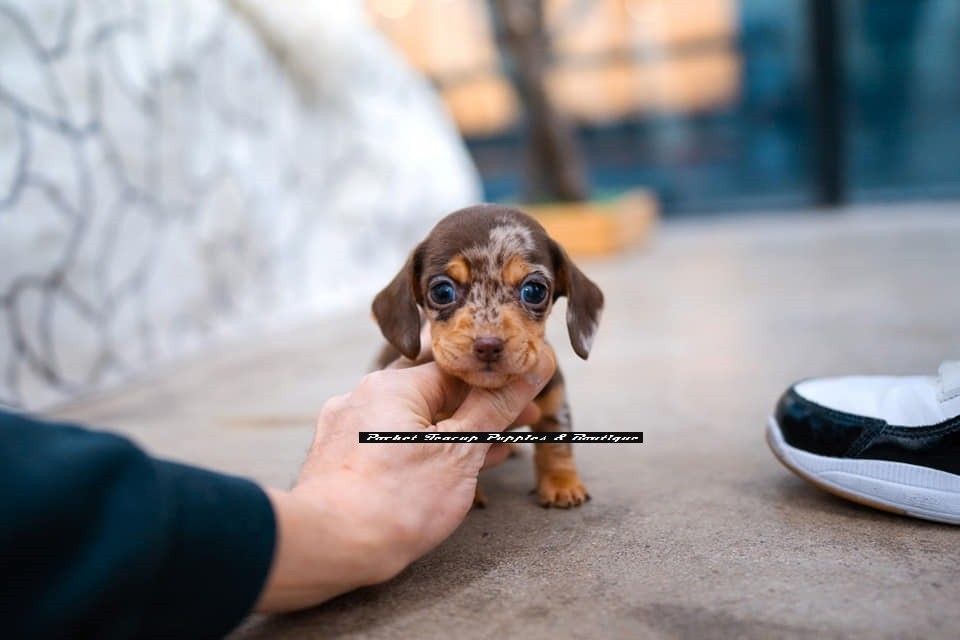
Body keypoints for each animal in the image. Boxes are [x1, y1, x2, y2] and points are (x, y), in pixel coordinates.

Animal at [372, 205, 604, 510]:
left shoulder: (554, 399)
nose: (488, 345)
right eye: (442, 291)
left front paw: (561, 483)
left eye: (534, 290)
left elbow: (556, 444)